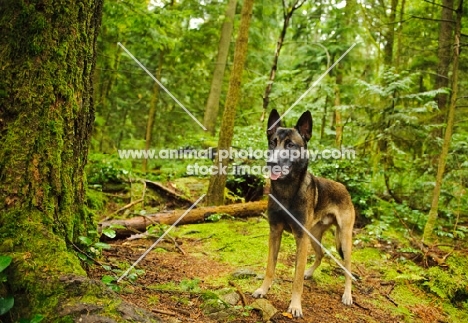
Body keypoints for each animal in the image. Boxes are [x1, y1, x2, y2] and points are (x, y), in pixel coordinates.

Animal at [252, 109, 354, 318]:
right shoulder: (275, 233)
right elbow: (270, 267)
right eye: (272, 142)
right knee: (321, 254)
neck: (286, 191)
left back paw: (347, 295)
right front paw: (263, 289)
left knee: (348, 268)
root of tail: (344, 188)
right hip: (313, 236)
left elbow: (296, 278)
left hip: (343, 240)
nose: (271, 162)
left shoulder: (300, 238)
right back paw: (310, 272)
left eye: (290, 145)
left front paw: (295, 306)